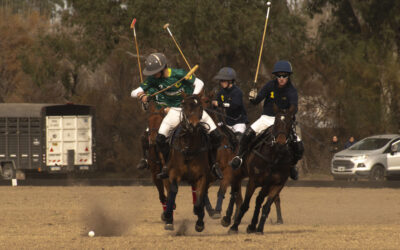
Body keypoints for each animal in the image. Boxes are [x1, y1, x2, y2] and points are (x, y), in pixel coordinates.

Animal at [162, 94, 212, 231]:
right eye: (184, 105)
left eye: (200, 107)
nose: (193, 126)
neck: (190, 148)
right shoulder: (174, 174)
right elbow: (173, 190)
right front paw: (168, 218)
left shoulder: (202, 176)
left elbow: (200, 196)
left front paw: (199, 221)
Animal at [227, 104, 296, 233]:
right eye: (276, 122)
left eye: (290, 123)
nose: (280, 144)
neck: (274, 157)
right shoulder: (253, 181)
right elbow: (245, 204)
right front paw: (234, 227)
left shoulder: (276, 184)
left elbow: (265, 206)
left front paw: (258, 228)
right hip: (238, 172)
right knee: (234, 192)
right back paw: (227, 218)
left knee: (259, 200)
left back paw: (252, 225)